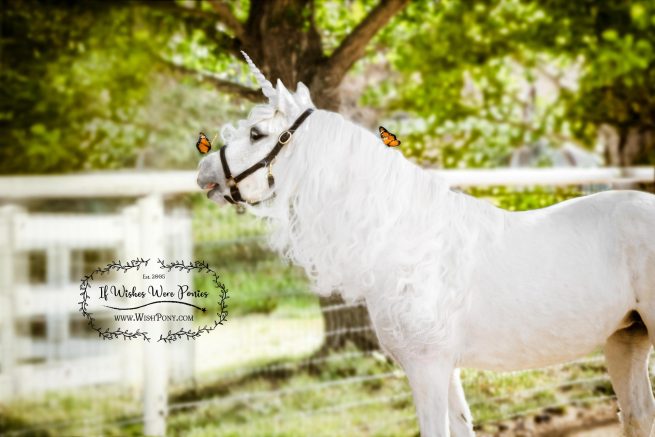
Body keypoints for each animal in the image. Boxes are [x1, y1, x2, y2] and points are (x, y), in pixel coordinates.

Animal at [197, 53, 655, 437]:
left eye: (257, 133)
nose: (204, 172)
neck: (406, 243)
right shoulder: (445, 371)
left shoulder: (427, 369)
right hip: (625, 341)